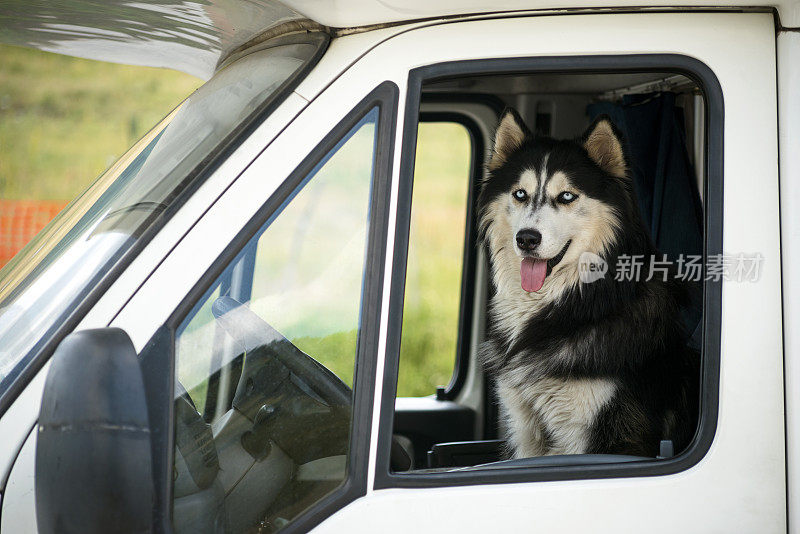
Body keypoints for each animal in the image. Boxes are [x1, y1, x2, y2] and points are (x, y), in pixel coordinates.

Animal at [478, 110, 696, 460]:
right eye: (520, 194)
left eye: (567, 196)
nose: (526, 239)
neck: (580, 302)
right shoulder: (525, 431)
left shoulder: (606, 436)